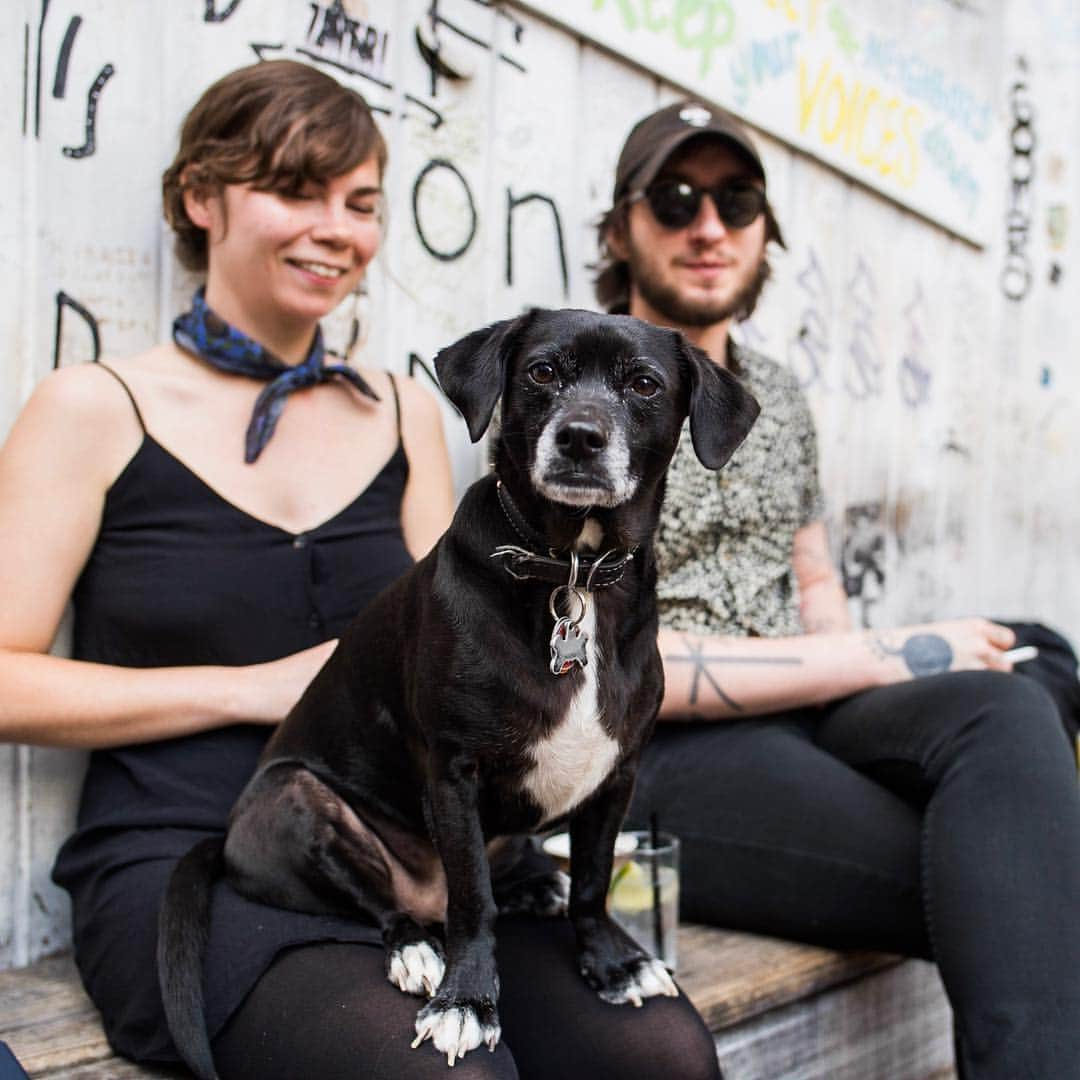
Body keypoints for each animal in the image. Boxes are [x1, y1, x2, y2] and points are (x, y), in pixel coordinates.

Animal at [159, 308, 760, 1075]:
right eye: (542, 371)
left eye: (645, 385)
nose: (580, 437)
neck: (572, 570)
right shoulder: (453, 772)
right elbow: (473, 901)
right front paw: (467, 1000)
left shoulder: (617, 776)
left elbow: (594, 880)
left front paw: (612, 961)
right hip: (295, 797)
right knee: (391, 905)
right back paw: (419, 947)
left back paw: (536, 882)